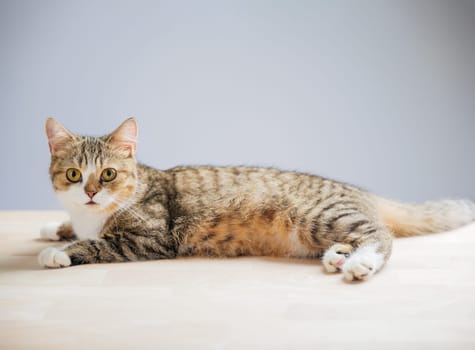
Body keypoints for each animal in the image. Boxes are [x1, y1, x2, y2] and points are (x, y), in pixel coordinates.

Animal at [40, 117, 475, 282]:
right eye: (74, 174)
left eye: (108, 174)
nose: (91, 192)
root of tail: (359, 191)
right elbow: (74, 227)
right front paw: (54, 228)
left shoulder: (149, 239)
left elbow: (97, 244)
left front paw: (59, 251)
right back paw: (338, 256)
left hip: (317, 216)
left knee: (381, 236)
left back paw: (359, 263)